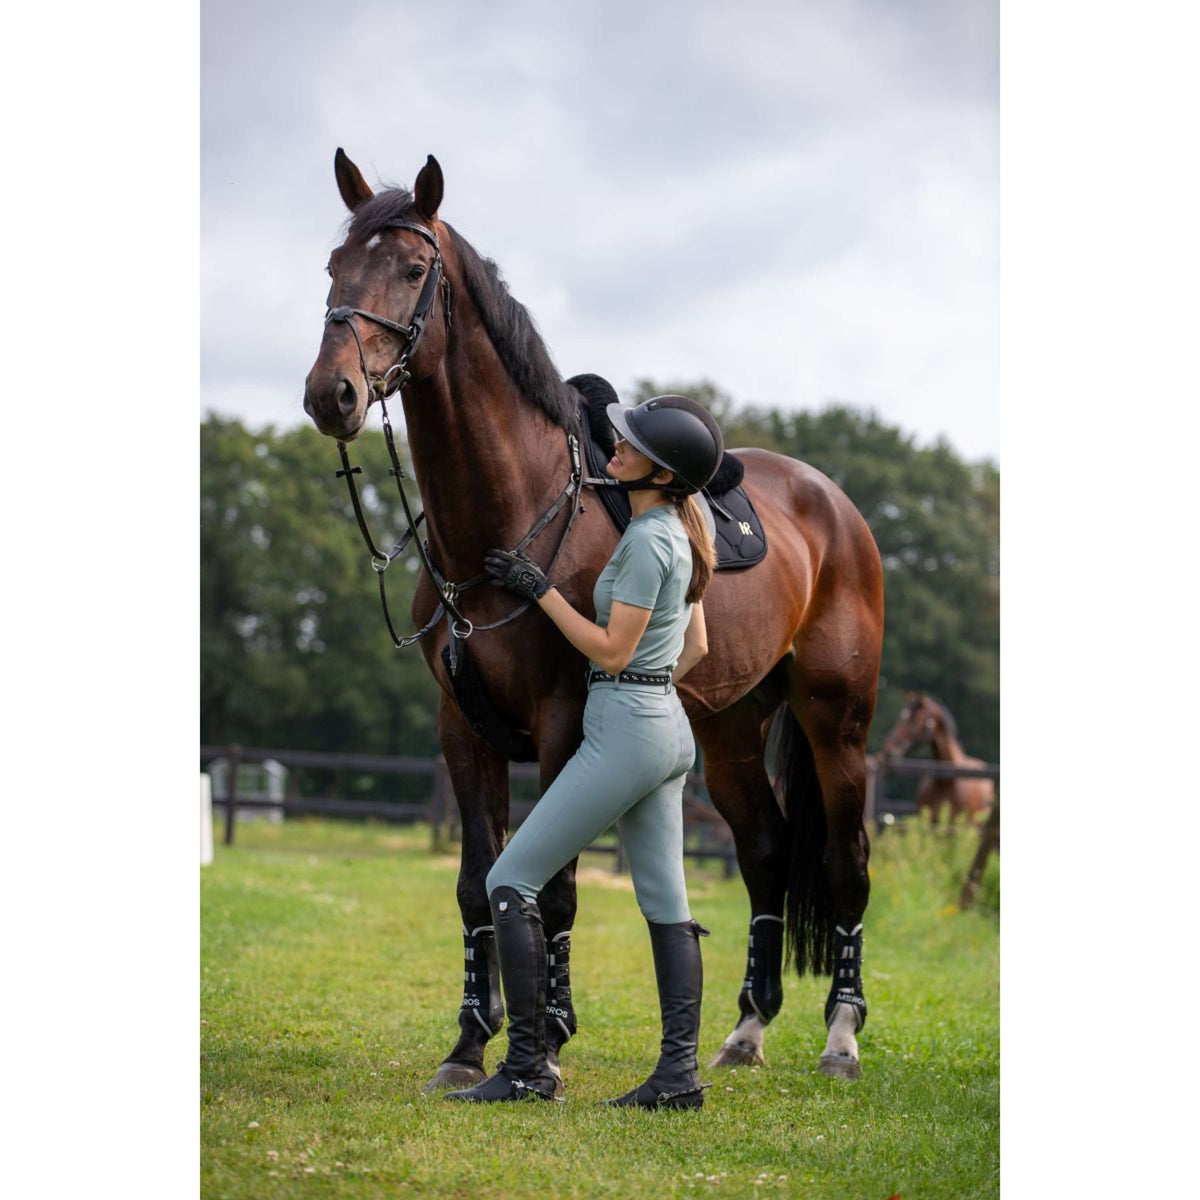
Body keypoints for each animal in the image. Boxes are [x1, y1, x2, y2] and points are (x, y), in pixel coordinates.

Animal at [300, 150, 883, 1089]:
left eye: (415, 268)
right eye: (333, 267)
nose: (333, 394)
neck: (509, 516)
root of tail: (835, 505)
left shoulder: (564, 722)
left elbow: (559, 883)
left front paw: (549, 1036)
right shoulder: (460, 729)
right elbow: (477, 881)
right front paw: (470, 1043)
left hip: (838, 722)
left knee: (844, 864)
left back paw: (840, 1037)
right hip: (729, 727)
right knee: (762, 852)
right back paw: (746, 1029)